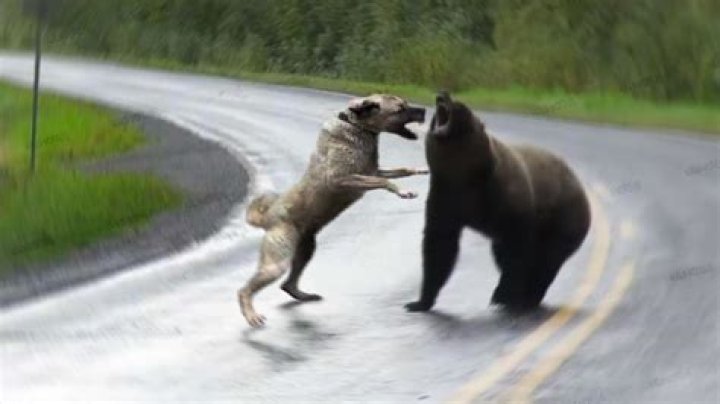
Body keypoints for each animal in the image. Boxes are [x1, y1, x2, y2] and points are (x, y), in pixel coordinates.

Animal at [405, 92, 591, 312]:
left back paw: (527, 296)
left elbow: (517, 249)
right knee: (508, 253)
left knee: (547, 259)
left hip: (564, 218)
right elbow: (440, 243)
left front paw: (510, 294)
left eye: (459, 105)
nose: (442, 95)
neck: (467, 175)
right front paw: (419, 302)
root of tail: (582, 188)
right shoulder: (446, 196)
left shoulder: (506, 197)